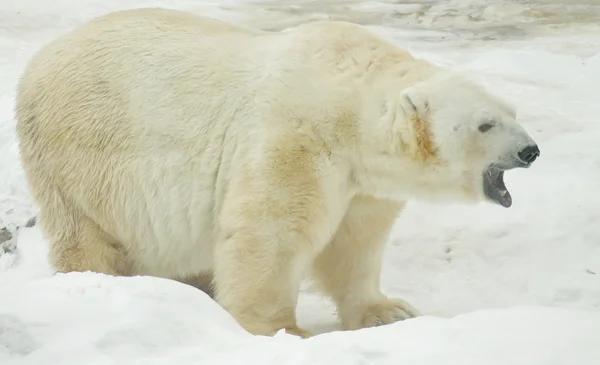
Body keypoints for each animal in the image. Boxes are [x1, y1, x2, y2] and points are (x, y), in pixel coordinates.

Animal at [14, 7, 540, 336]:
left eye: (512, 111)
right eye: (485, 124)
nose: (531, 150)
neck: (350, 105)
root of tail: (40, 58)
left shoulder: (361, 181)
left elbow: (356, 243)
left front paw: (389, 311)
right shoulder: (296, 136)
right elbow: (272, 232)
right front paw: (283, 329)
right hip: (80, 157)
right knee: (88, 233)